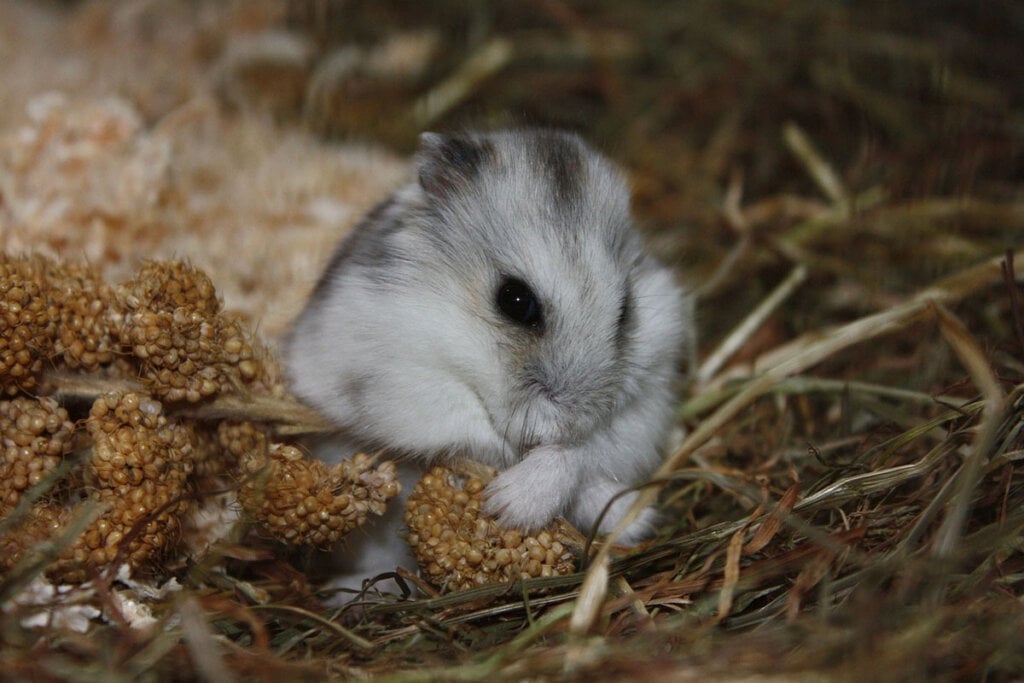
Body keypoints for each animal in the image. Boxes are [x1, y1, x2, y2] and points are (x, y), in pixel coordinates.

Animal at [284, 129, 692, 544]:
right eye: (515, 301)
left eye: (626, 310)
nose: (570, 422)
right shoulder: (402, 383)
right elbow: (478, 436)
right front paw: (501, 505)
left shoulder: (645, 405)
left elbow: (579, 453)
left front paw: (510, 507)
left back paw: (632, 522)